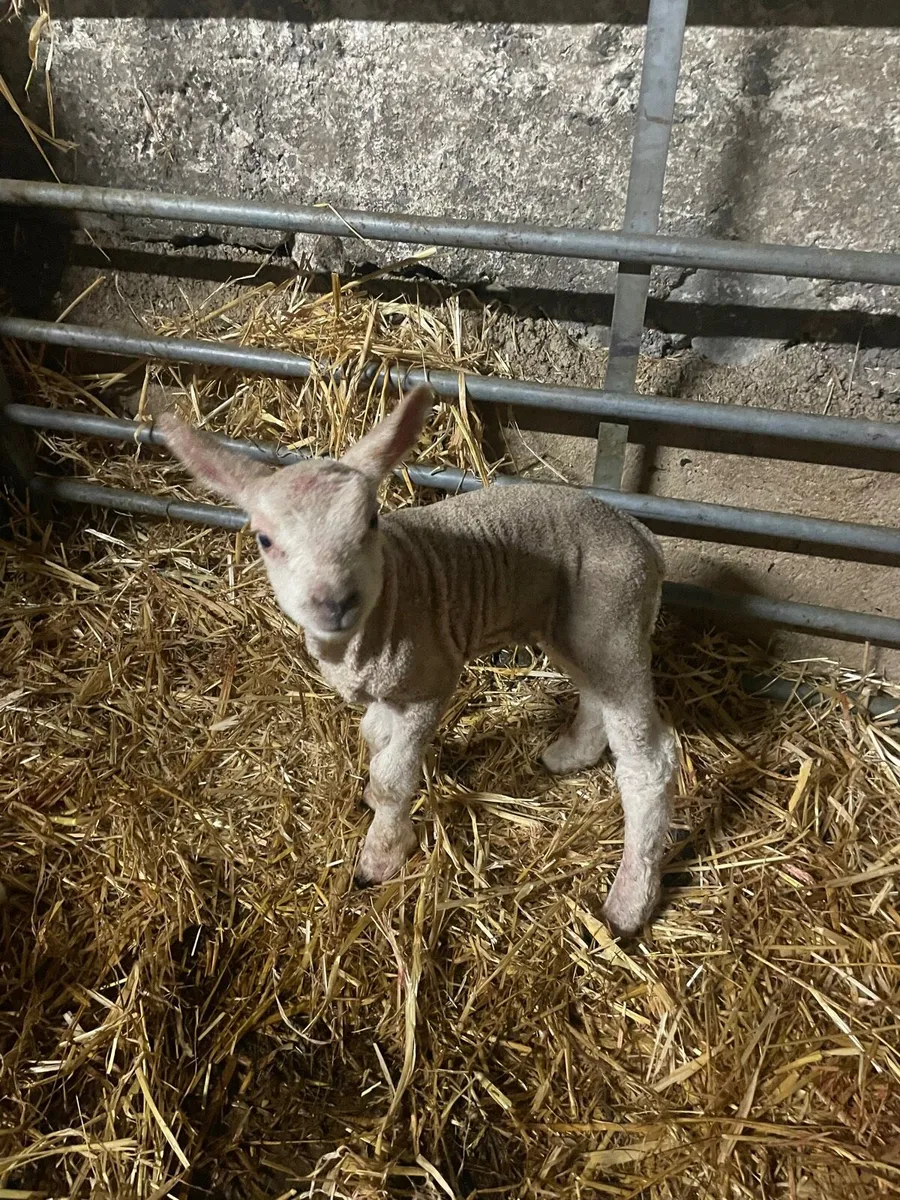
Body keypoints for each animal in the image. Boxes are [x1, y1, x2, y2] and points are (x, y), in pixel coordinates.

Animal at [159, 387, 676, 936]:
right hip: (574, 627)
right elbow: (373, 738)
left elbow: (393, 777)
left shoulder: (429, 680)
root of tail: (641, 535)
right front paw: (372, 792)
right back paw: (570, 754)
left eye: (370, 522)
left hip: (613, 620)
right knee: (595, 694)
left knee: (649, 762)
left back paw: (629, 901)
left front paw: (381, 854)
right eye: (264, 539)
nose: (335, 602)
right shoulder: (388, 687)